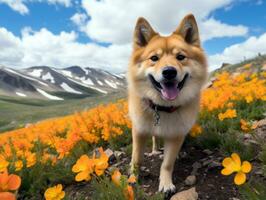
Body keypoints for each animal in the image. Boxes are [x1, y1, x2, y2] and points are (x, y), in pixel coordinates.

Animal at [127, 14, 208, 194]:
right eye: (154, 58)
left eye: (181, 57)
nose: (169, 72)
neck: (163, 108)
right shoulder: (139, 130)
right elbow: (137, 158)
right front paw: (133, 177)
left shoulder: (176, 135)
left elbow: (167, 163)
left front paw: (165, 183)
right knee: (155, 138)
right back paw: (155, 149)